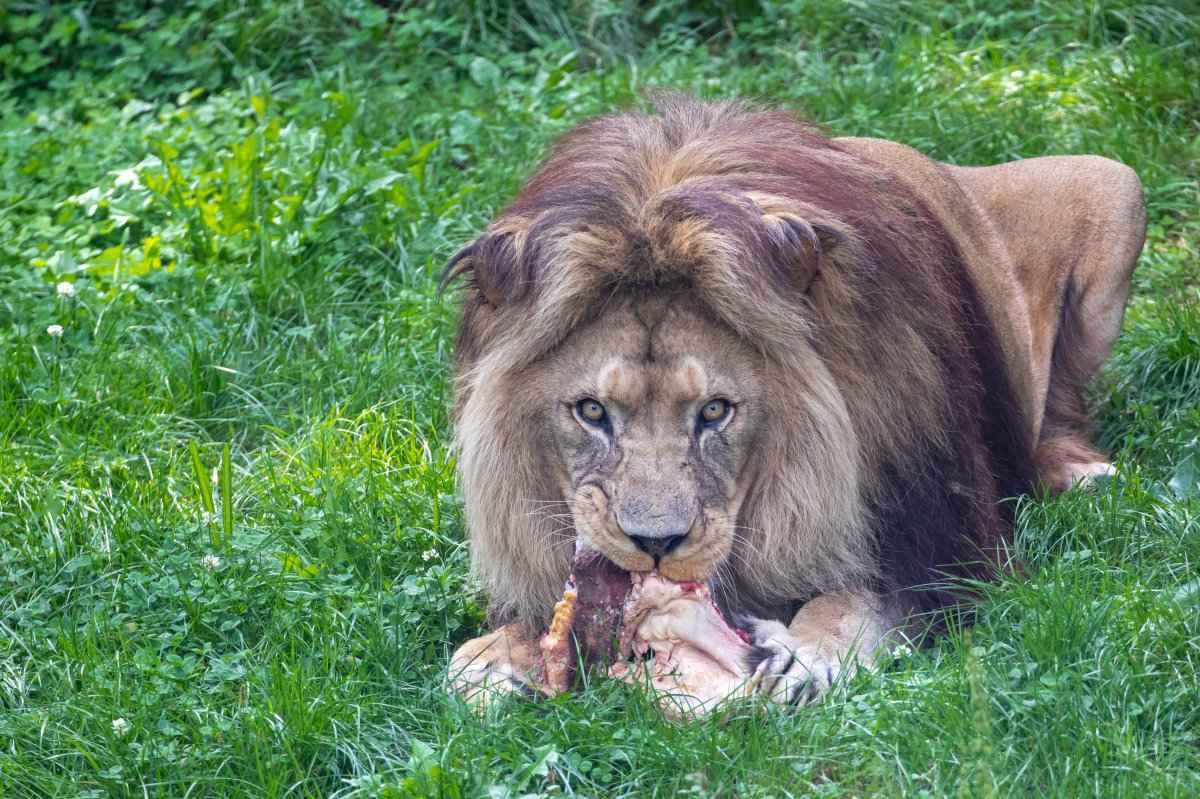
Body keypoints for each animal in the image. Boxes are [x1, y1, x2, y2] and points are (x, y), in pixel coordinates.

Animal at [439, 94, 1142, 705]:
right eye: (592, 412)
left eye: (715, 411)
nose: (656, 544)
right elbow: (486, 649)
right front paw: (495, 662)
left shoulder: (942, 552)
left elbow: (854, 602)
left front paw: (807, 654)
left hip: (1117, 187)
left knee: (1063, 409)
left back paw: (1084, 476)